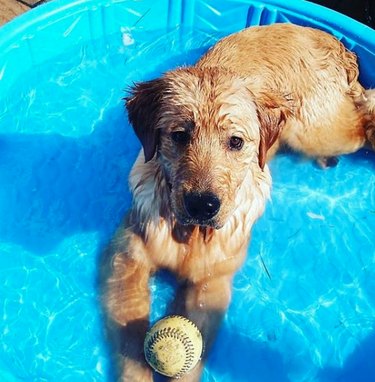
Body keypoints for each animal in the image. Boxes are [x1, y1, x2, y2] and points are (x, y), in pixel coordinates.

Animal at [100, 23, 375, 382]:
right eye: (179, 135)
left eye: (235, 142)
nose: (202, 205)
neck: (189, 234)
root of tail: (330, 39)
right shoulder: (126, 258)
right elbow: (131, 338)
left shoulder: (212, 282)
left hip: (317, 131)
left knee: (364, 114)